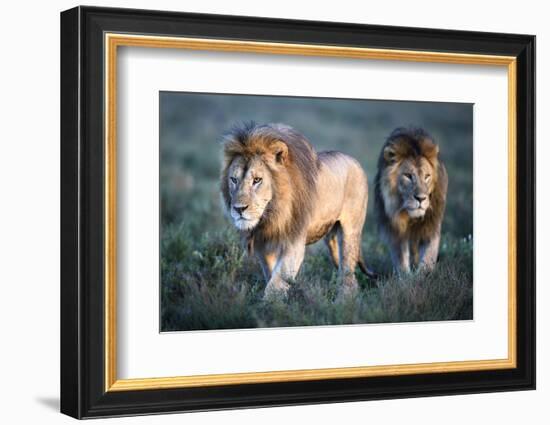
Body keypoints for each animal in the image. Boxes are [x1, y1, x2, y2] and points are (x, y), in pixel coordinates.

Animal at [221, 121, 376, 296]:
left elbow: (277, 281)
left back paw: (345, 297)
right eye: (233, 179)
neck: (272, 214)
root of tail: (354, 160)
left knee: (348, 270)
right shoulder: (263, 244)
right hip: (330, 237)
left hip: (350, 230)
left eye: (257, 180)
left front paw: (269, 302)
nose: (239, 209)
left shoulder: (293, 241)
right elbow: (271, 274)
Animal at [376, 126, 448, 274]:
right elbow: (401, 258)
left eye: (427, 176)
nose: (421, 198)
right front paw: (405, 277)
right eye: (408, 176)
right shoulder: (395, 229)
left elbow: (428, 255)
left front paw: (423, 275)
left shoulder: (431, 223)